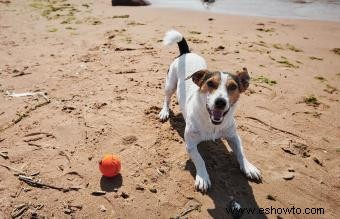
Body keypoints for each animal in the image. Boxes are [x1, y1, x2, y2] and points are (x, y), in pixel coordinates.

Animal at [159, 30, 260, 192]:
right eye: (210, 83)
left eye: (233, 87)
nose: (220, 102)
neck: (212, 123)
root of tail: (186, 53)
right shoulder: (190, 144)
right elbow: (200, 160)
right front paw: (202, 177)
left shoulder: (233, 136)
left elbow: (241, 152)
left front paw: (248, 167)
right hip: (170, 84)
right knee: (167, 98)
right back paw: (164, 112)